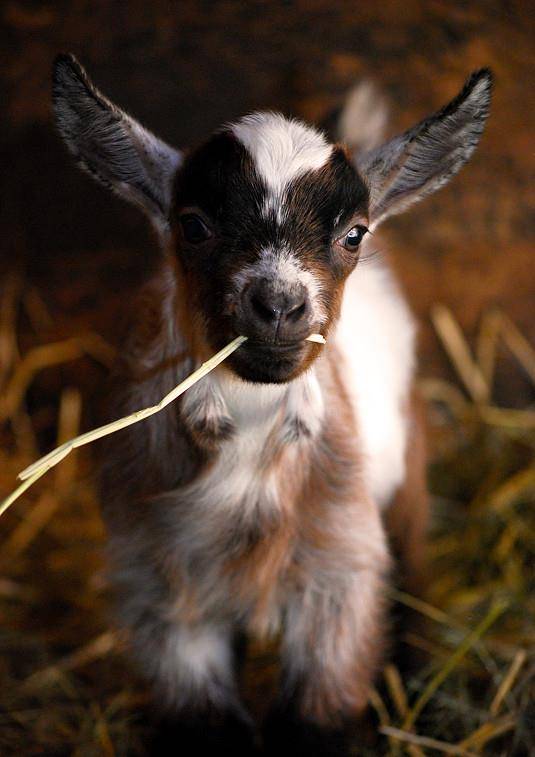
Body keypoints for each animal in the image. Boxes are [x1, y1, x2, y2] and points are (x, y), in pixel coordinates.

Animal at [52, 56, 492, 752]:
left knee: (413, 580)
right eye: (193, 225)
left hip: (406, 484)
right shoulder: (162, 592)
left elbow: (315, 719)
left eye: (352, 234)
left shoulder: (339, 579)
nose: (281, 306)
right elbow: (207, 723)